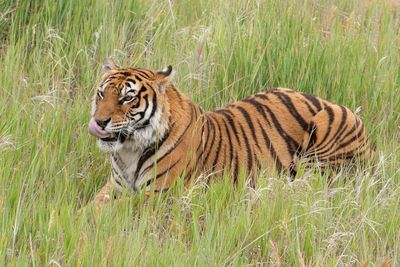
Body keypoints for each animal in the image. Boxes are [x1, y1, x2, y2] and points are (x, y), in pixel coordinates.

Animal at [87, 58, 372, 205]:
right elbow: (91, 208)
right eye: (101, 94)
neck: (129, 151)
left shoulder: (158, 194)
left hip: (324, 138)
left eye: (127, 98)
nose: (99, 122)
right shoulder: (114, 186)